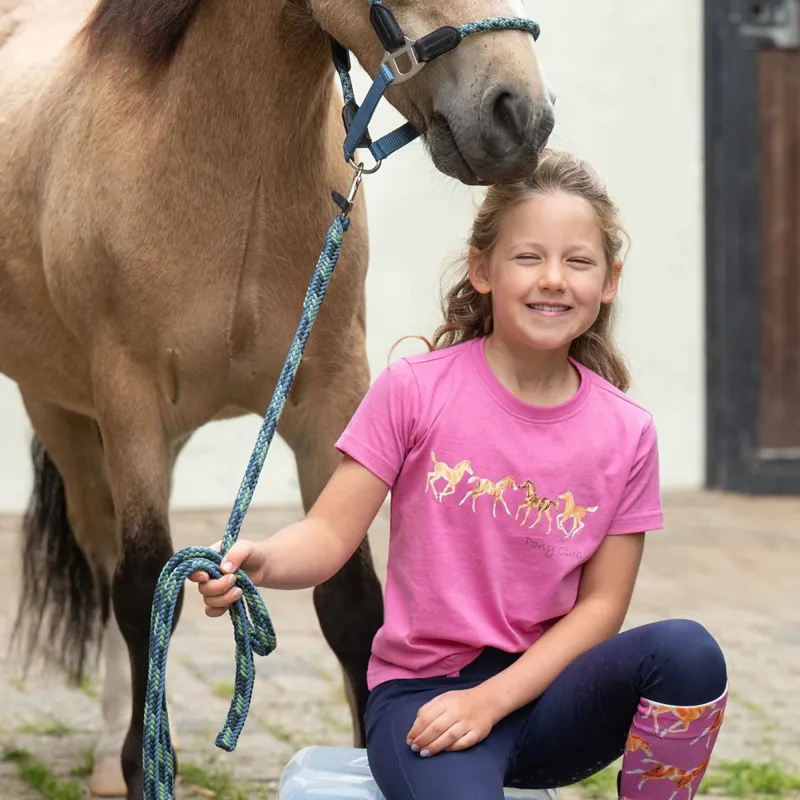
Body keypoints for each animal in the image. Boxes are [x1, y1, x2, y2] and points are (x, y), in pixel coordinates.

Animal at [0, 0, 555, 796]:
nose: (519, 117)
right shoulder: (128, 400)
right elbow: (143, 591)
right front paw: (141, 765)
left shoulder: (329, 398)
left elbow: (351, 603)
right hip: (67, 417)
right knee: (107, 561)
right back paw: (107, 757)